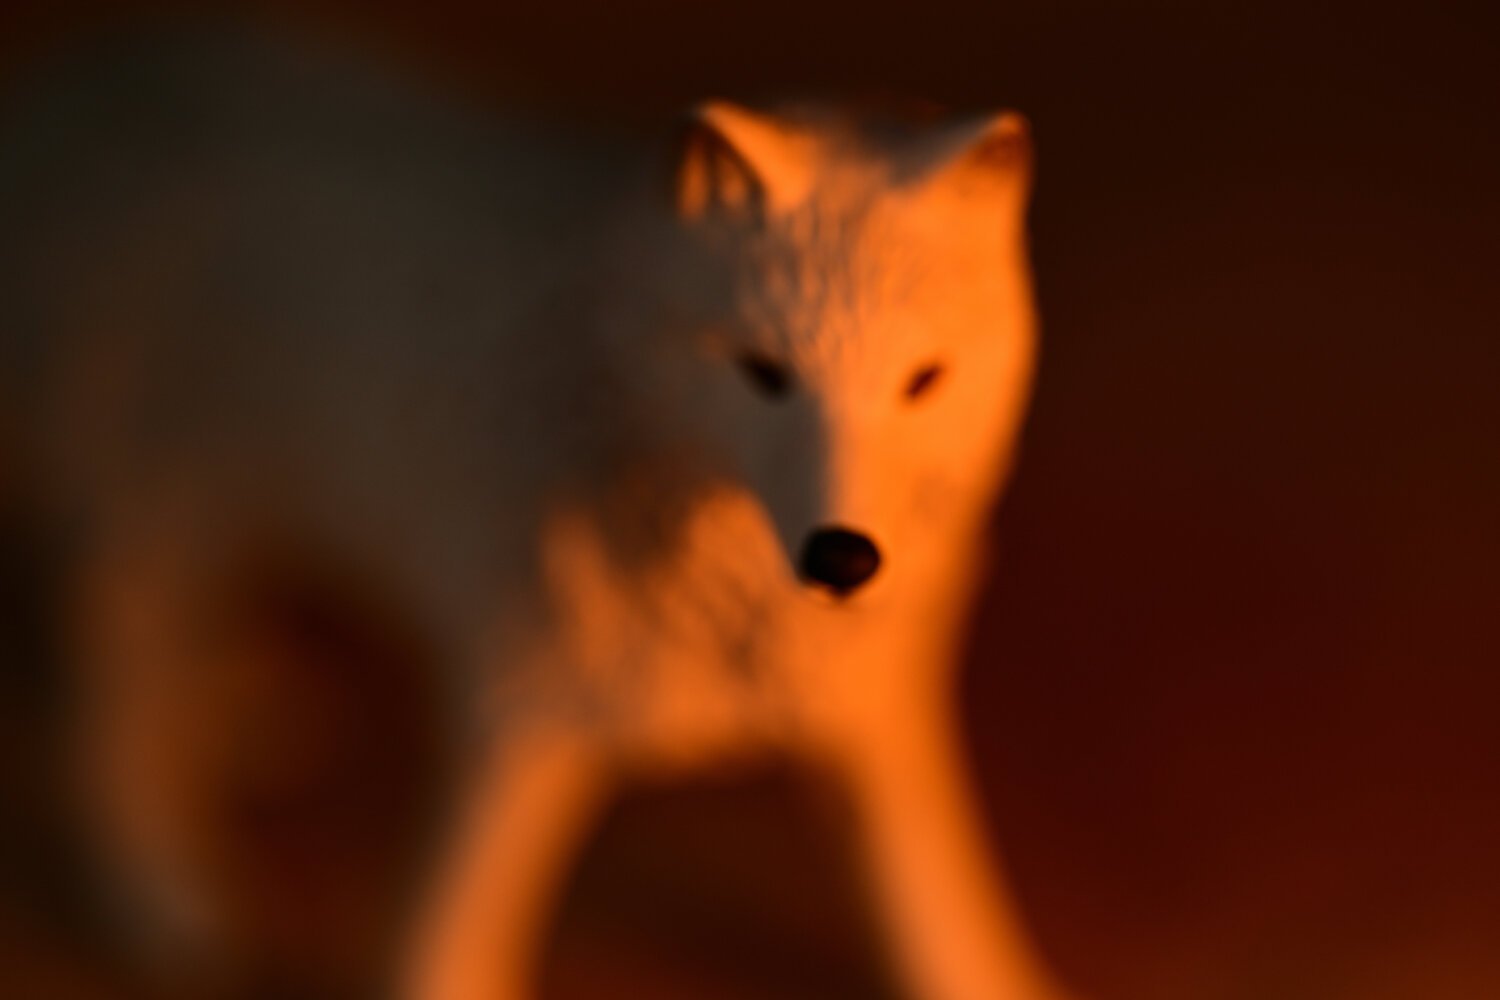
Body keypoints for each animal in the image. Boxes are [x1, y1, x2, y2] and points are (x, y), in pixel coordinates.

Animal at [0, 29, 1066, 1000]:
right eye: (765, 374)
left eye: (923, 381)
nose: (843, 558)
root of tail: (85, 87)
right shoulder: (518, 721)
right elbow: (445, 944)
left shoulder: (872, 726)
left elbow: (939, 906)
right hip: (153, 521)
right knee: (106, 680)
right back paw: (152, 891)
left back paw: (237, 714)